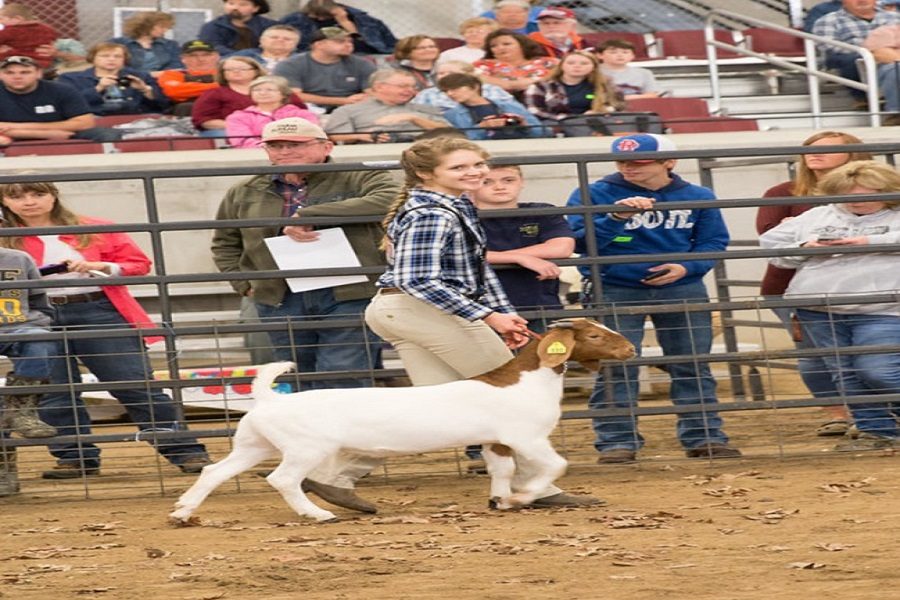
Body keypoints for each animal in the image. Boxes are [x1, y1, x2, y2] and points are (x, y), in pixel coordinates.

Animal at [167, 318, 632, 520]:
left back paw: (184, 511)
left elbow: (500, 471)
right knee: (282, 479)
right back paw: (318, 514)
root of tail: (268, 401)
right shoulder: (527, 436)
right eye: (593, 335)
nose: (629, 349)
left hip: (253, 443)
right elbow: (555, 464)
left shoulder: (496, 440)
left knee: (214, 471)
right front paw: (522, 498)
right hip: (304, 447)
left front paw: (501, 501)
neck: (527, 380)